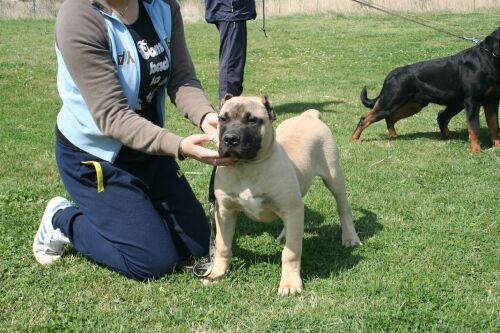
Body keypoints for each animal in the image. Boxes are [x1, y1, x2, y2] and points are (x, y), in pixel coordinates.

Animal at [203, 94, 360, 294]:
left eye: (252, 120)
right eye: (223, 118)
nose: (230, 139)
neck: (246, 167)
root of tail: (309, 115)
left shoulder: (291, 208)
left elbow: (290, 253)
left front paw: (290, 283)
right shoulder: (224, 211)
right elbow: (222, 246)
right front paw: (216, 273)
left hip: (334, 177)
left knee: (343, 207)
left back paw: (350, 237)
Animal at [352, 27, 500, 152]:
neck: (489, 59)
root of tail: (392, 74)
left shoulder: (492, 101)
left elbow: (494, 125)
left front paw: (497, 146)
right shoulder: (472, 102)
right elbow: (474, 128)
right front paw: (477, 150)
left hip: (419, 105)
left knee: (398, 118)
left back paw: (395, 136)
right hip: (390, 102)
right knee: (365, 118)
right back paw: (354, 139)